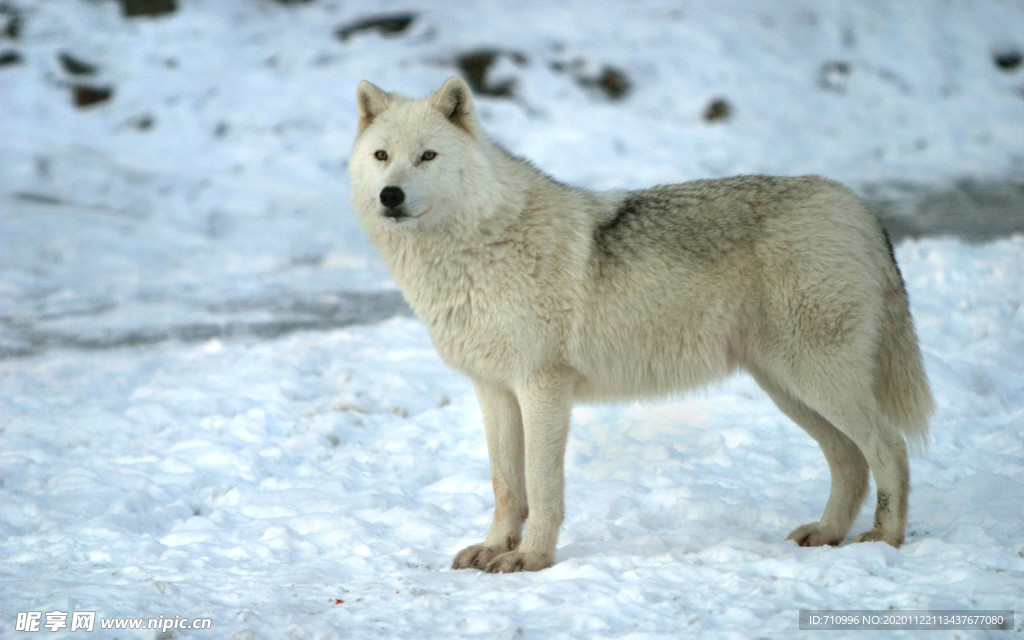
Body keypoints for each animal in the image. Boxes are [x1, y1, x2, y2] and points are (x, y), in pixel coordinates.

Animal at [352, 77, 937, 573]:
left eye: (427, 156)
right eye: (382, 157)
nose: (391, 196)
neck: (476, 247)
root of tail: (858, 206)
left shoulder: (543, 387)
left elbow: (540, 486)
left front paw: (532, 559)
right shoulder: (493, 390)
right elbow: (506, 485)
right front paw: (495, 549)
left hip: (816, 380)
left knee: (890, 449)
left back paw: (883, 540)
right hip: (789, 389)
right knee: (850, 461)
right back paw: (828, 534)